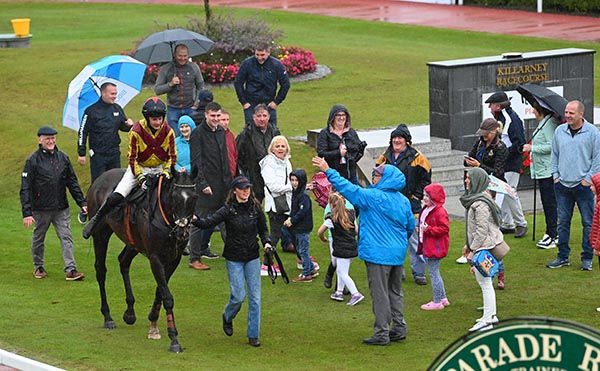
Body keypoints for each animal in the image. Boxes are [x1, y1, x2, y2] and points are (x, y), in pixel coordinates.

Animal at [85, 169, 197, 354]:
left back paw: (129, 312)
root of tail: (100, 178)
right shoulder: (155, 257)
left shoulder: (173, 258)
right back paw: (107, 317)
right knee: (101, 270)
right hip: (101, 234)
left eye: (194, 197)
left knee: (123, 261)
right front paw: (173, 338)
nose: (182, 233)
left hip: (133, 243)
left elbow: (161, 291)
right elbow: (167, 296)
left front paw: (153, 324)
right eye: (174, 197)